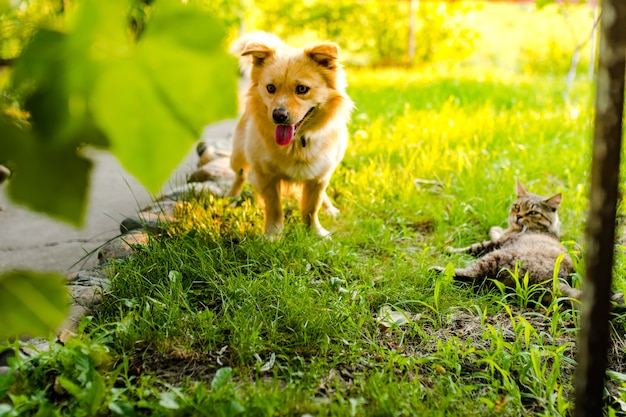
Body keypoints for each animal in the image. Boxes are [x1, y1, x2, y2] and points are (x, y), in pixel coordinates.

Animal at [228, 31, 352, 237]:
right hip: (239, 156)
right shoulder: (265, 175)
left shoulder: (320, 176)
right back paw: (230, 199)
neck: (297, 142)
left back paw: (330, 209)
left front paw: (314, 232)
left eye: (302, 89)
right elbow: (274, 207)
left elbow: (312, 207)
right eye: (270, 88)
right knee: (240, 176)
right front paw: (273, 234)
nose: (278, 115)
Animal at [432, 180, 616, 300]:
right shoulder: (503, 237)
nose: (518, 216)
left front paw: (448, 249)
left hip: (497, 257)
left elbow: (473, 246)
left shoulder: (497, 244)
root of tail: (557, 281)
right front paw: (495, 228)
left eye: (533, 212)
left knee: (471, 275)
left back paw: (438, 270)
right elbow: (495, 232)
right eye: (517, 207)